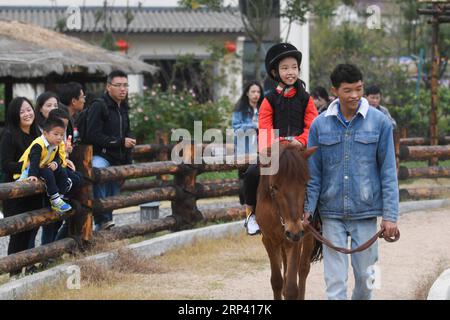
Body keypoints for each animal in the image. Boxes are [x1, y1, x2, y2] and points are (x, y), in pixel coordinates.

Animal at [255, 143, 322, 300]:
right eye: (274, 187)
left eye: (305, 184)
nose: (294, 231)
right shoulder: (269, 240)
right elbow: (277, 281)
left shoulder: (295, 240)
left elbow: (291, 287)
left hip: (307, 236)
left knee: (303, 269)